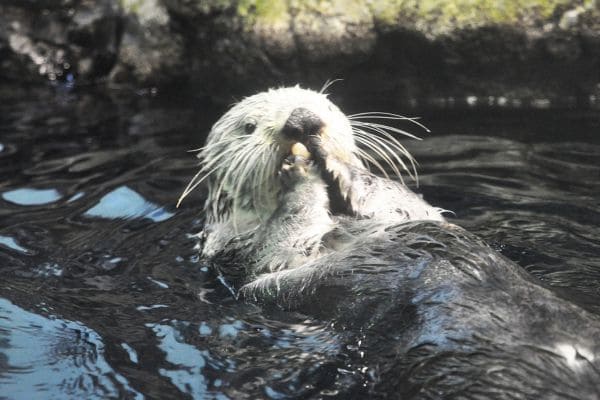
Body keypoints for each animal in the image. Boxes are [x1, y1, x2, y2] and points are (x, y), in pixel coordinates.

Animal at [180, 86, 600, 398]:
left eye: (326, 106)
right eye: (248, 127)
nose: (302, 121)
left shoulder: (406, 213)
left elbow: (395, 200)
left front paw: (340, 168)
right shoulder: (246, 253)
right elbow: (287, 237)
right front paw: (299, 173)